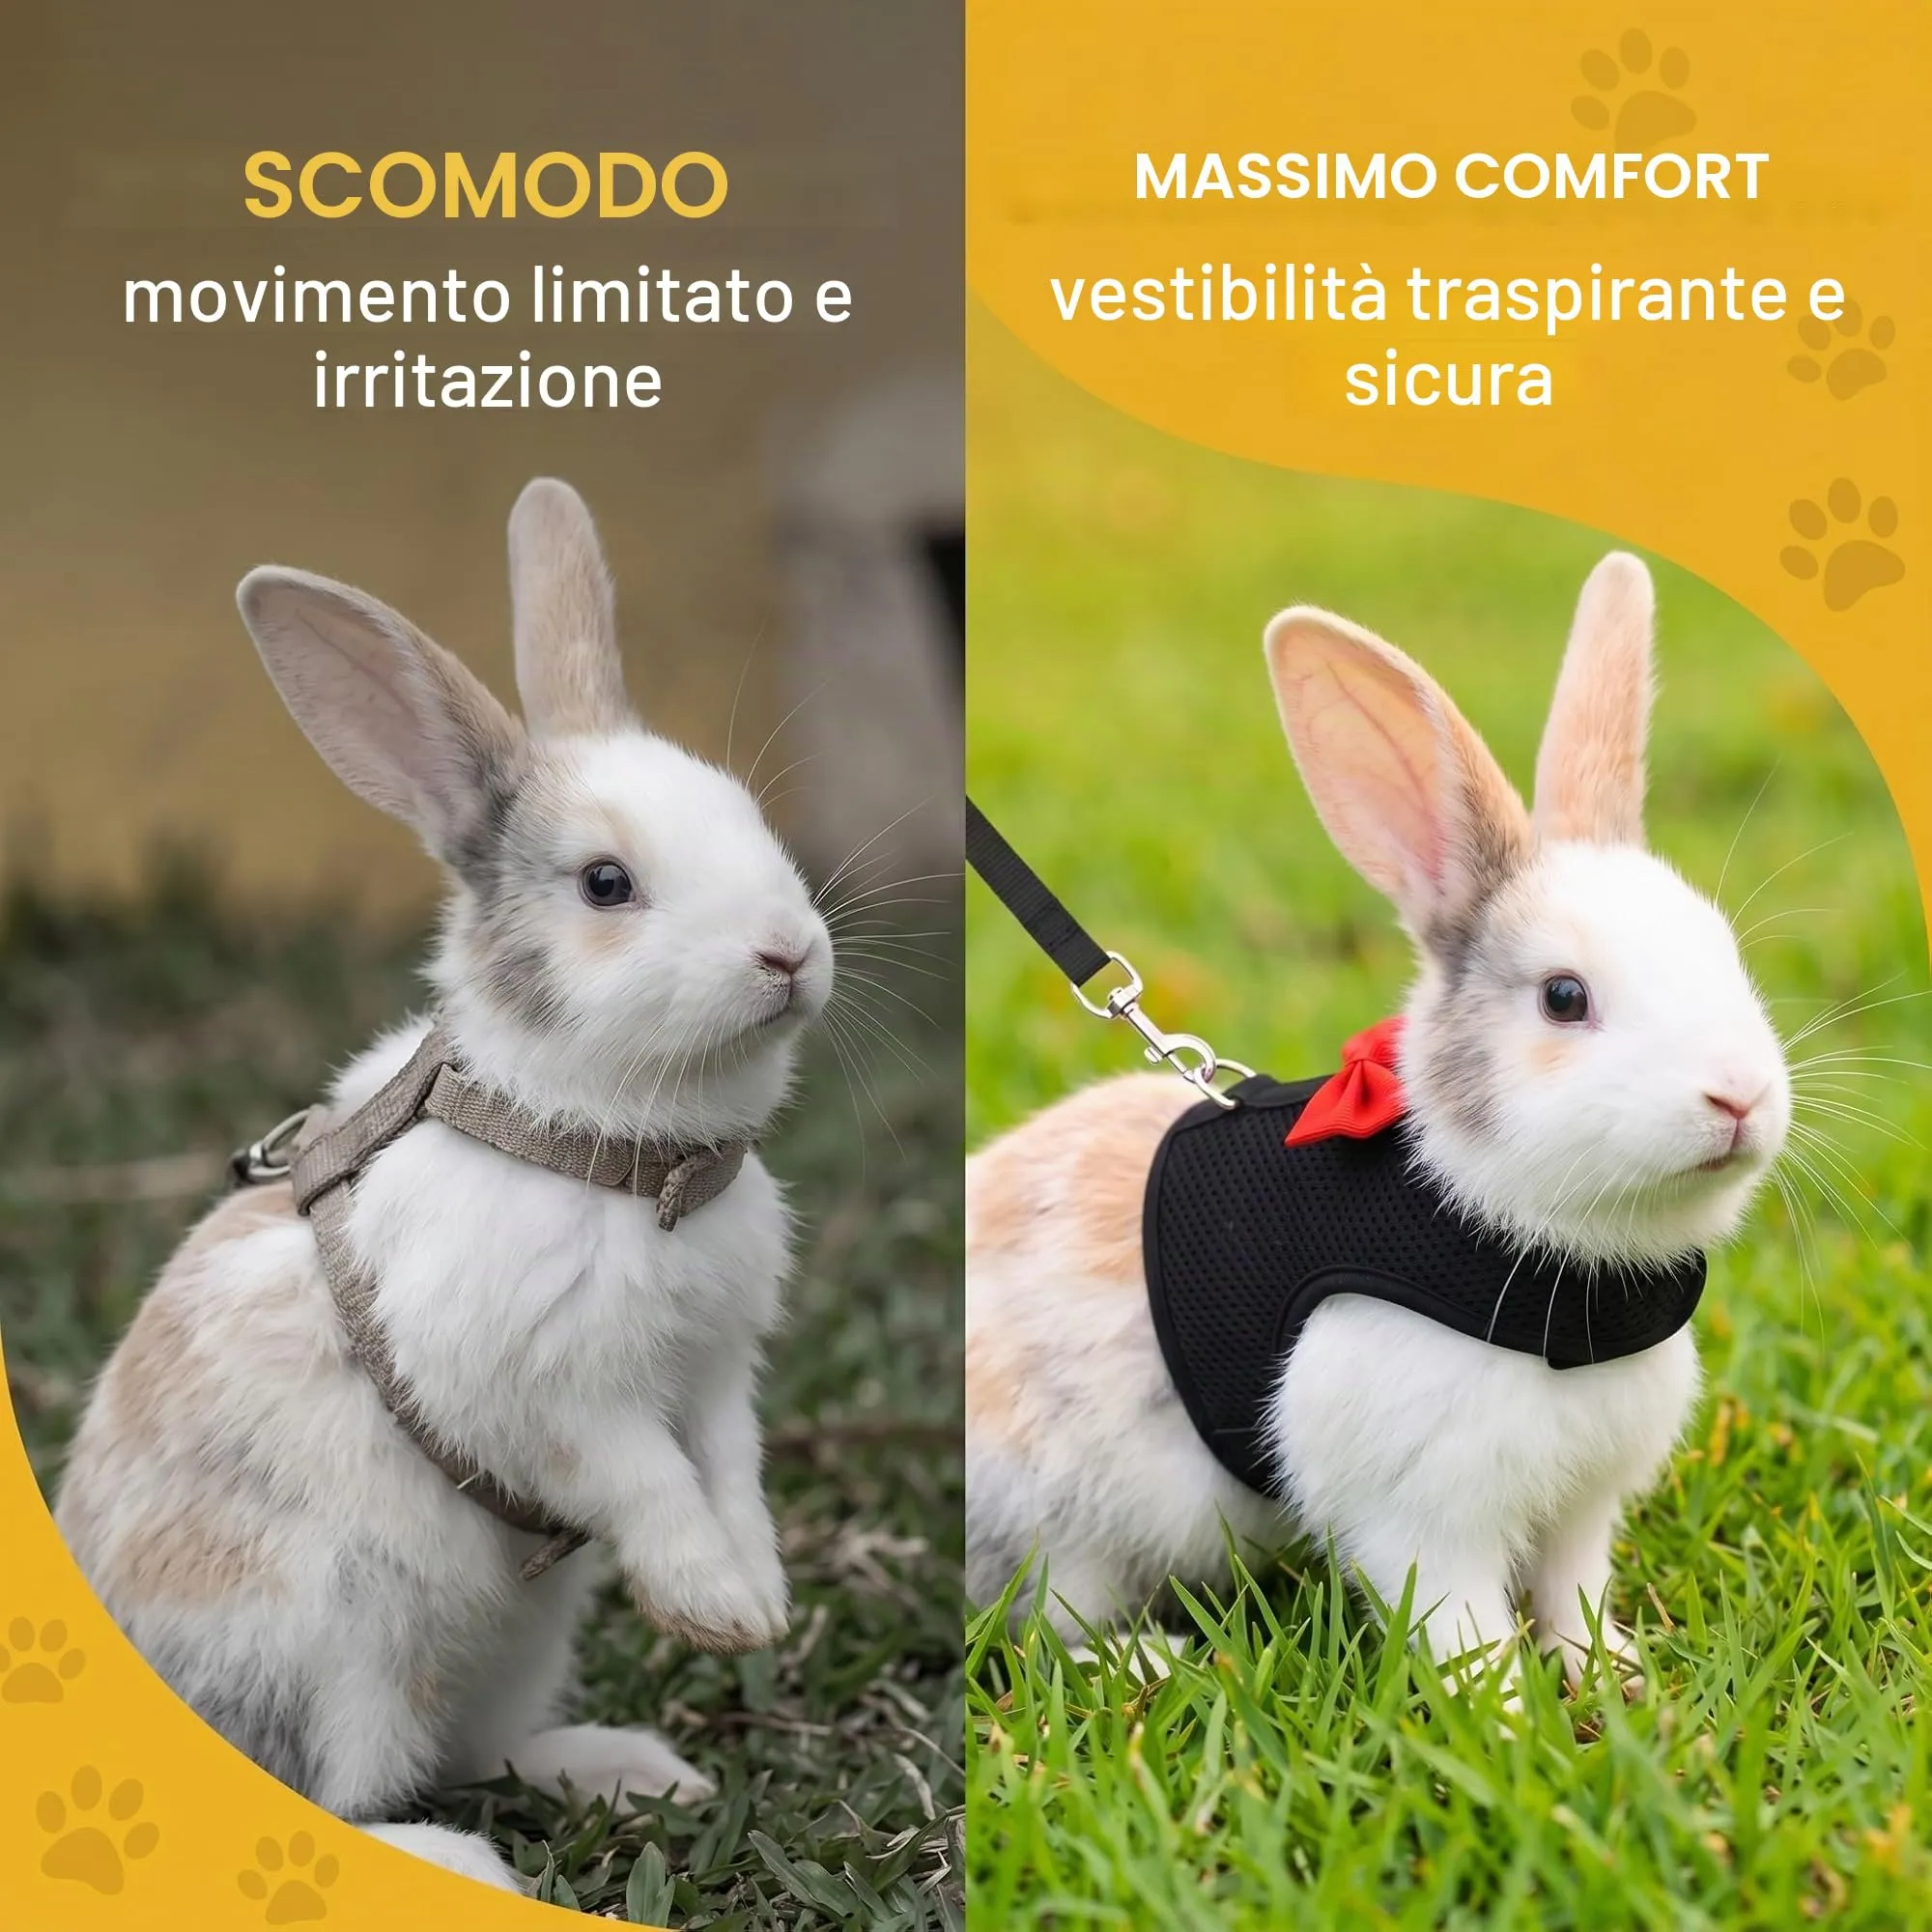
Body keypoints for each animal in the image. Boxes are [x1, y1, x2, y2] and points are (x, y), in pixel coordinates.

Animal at [53, 478, 832, 1891]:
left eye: (750, 823)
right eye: (605, 883)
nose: (789, 952)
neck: (612, 1148)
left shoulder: (714, 1377)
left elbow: (729, 1474)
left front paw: (755, 1602)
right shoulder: (549, 1395)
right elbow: (648, 1480)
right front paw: (716, 1606)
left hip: (514, 1636)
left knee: (483, 1745)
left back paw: (637, 1774)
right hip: (341, 1643)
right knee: (335, 1793)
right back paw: (454, 1863)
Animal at [966, 552, 1791, 1686]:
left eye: (1726, 954)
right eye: (1563, 997)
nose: (1738, 1095)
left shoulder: (1580, 1505)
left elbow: (1572, 1592)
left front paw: (1616, 1681)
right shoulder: (1422, 1513)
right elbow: (1462, 1622)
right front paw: (1503, 1709)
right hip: (1061, 1515)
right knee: (1051, 1623)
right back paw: (1156, 1662)